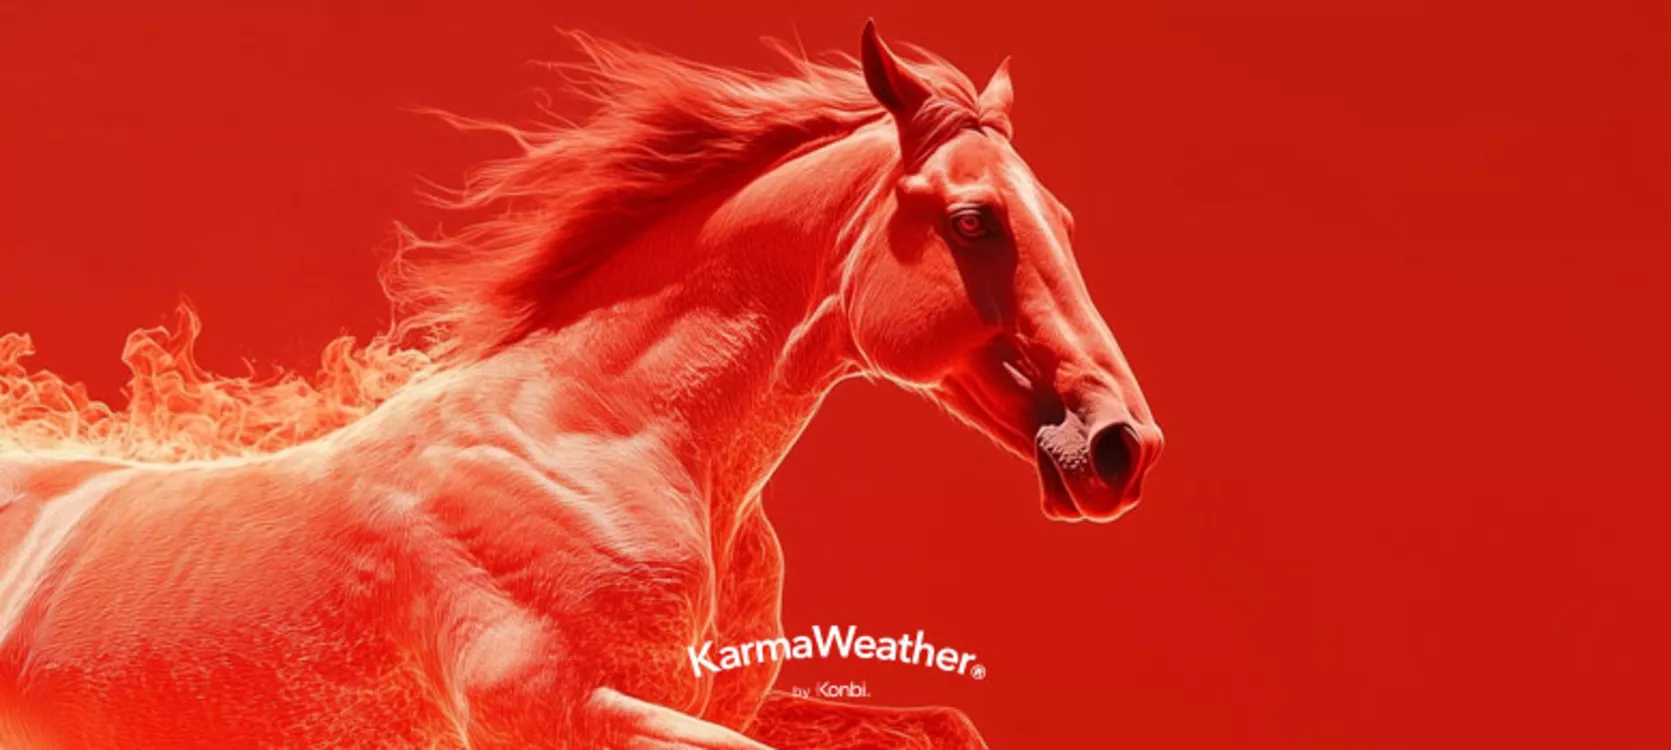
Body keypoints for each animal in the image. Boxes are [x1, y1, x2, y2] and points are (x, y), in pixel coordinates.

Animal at [0, 21, 1163, 749]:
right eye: (974, 221)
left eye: (1060, 217)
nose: (1122, 448)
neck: (605, 438)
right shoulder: (565, 714)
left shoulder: (725, 702)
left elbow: (944, 724)